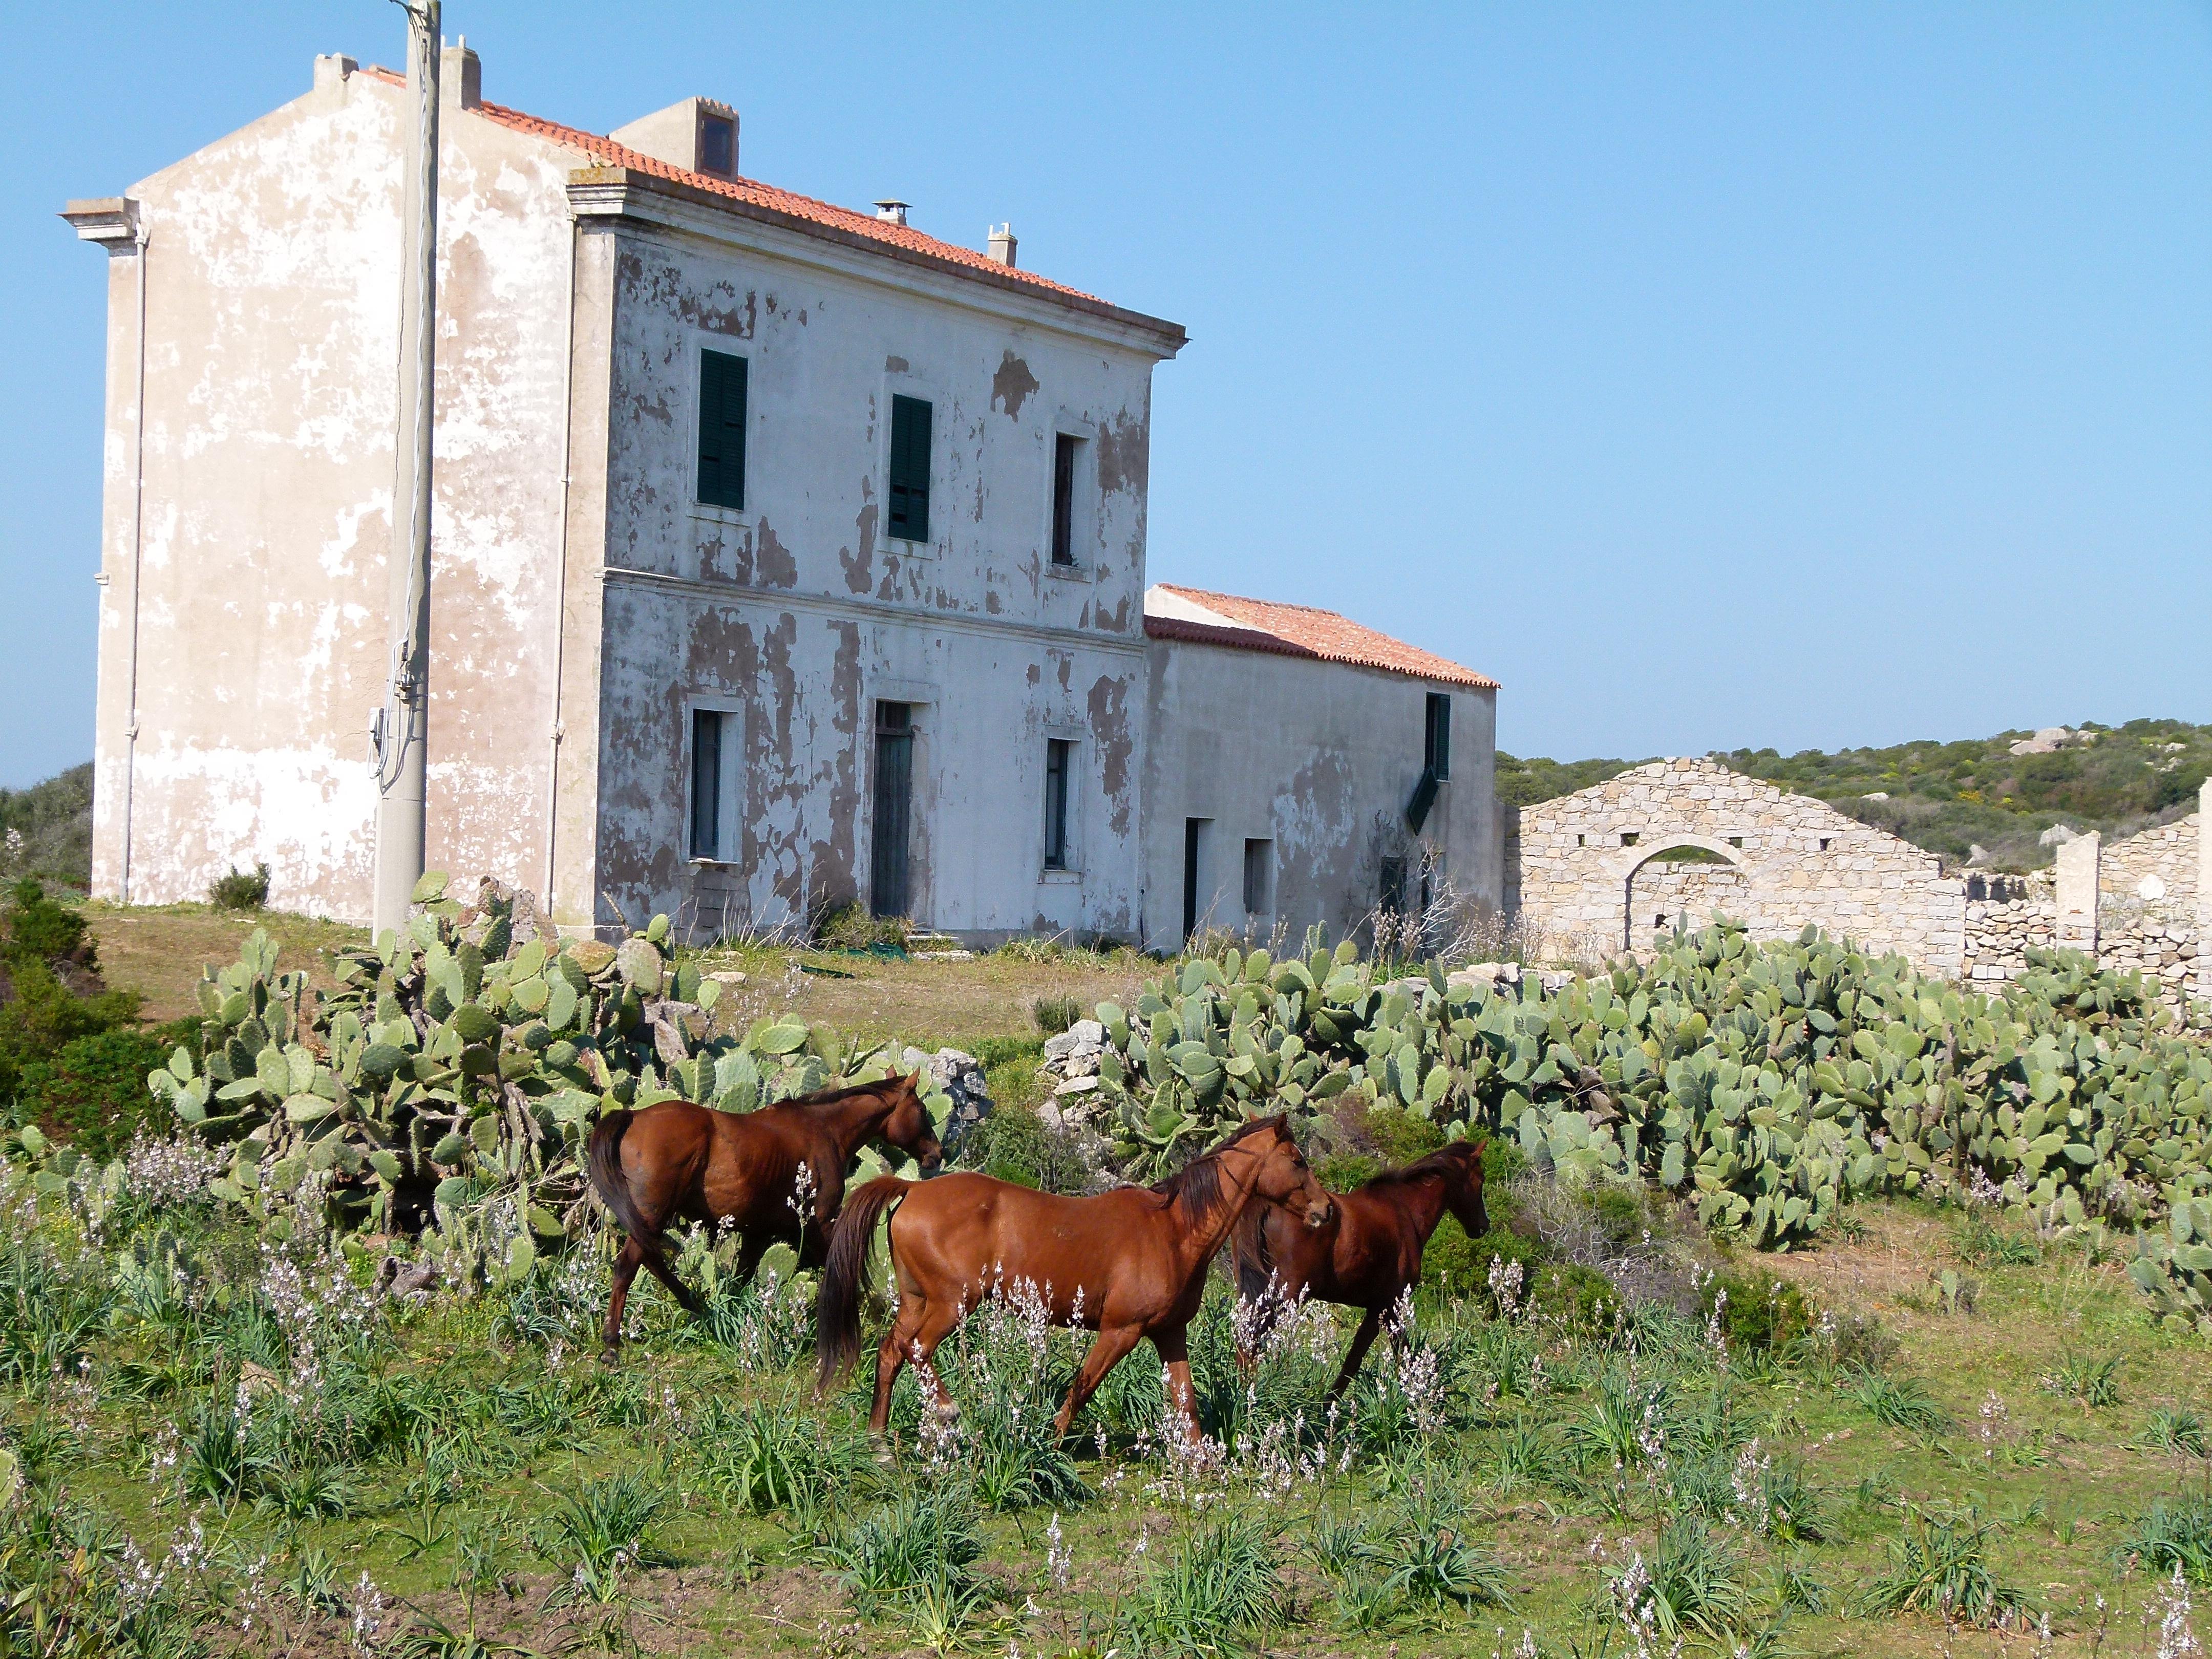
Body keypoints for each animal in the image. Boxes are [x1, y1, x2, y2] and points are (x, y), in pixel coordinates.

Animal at [584, 1079, 938, 1363]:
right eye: (922, 1110)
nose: (937, 1154)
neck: (824, 1129)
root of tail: (634, 1117)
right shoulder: (820, 1225)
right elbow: (843, 1268)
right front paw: (876, 1313)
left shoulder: (757, 1234)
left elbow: (741, 1280)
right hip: (652, 1215)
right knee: (627, 1266)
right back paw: (612, 1341)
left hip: (650, 1220)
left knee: (652, 1259)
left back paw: (695, 1305)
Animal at [814, 1119, 1327, 1451]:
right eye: (1297, 1161)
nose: (1325, 1210)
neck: (1174, 1230)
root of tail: (913, 1190)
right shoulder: (1121, 1331)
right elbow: (1083, 1388)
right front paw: (1050, 1443)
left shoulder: (1169, 1333)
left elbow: (1187, 1403)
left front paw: (1201, 1465)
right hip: (951, 1304)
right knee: (915, 1349)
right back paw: (946, 1411)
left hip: (918, 1302)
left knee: (890, 1353)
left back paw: (879, 1441)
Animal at [1229, 1141, 1486, 1398]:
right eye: (1481, 1178)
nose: (1483, 1226)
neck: (1405, 1209)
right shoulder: (1386, 1307)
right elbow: (1361, 1361)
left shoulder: (1384, 1309)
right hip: (1286, 1295)